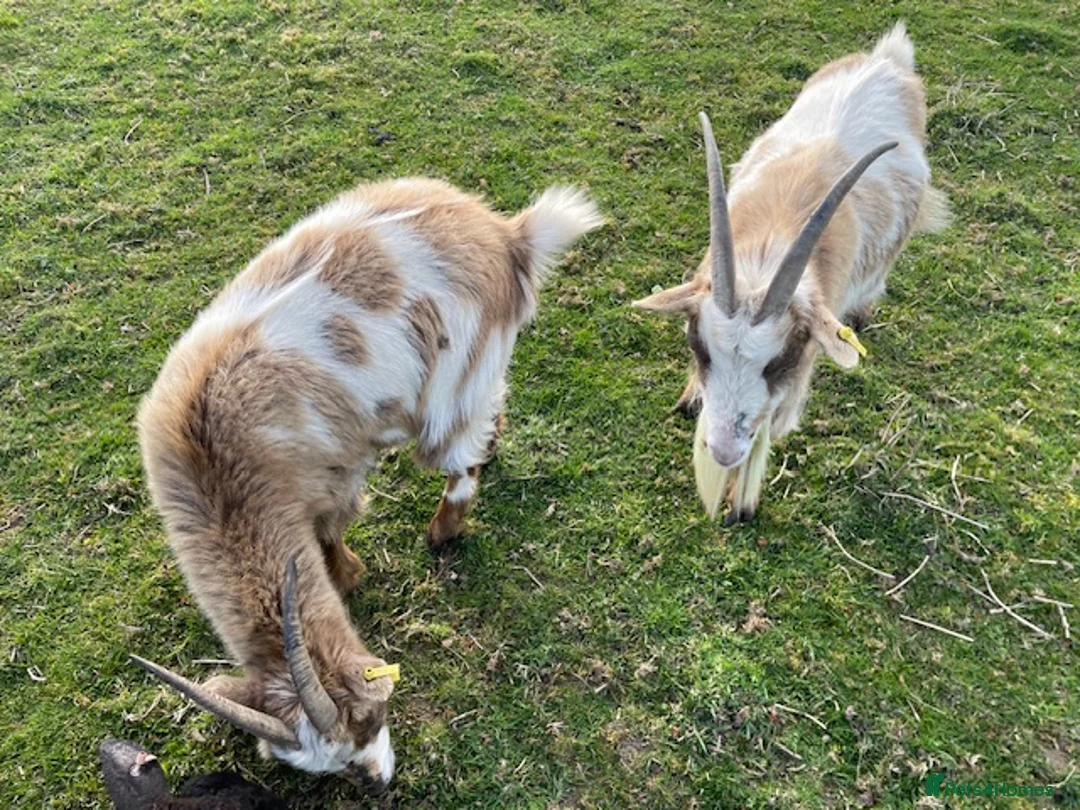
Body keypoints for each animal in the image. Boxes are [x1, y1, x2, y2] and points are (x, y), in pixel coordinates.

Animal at [133, 178, 602, 786]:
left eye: (367, 719)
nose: (379, 782)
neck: (214, 459)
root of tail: (508, 237)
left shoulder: (331, 474)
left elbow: (330, 530)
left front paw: (347, 576)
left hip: (452, 382)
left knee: (458, 456)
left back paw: (443, 531)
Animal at [634, 24, 948, 522]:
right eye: (698, 346)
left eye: (781, 361)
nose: (723, 451)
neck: (769, 250)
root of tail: (888, 60)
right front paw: (691, 397)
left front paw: (741, 503)